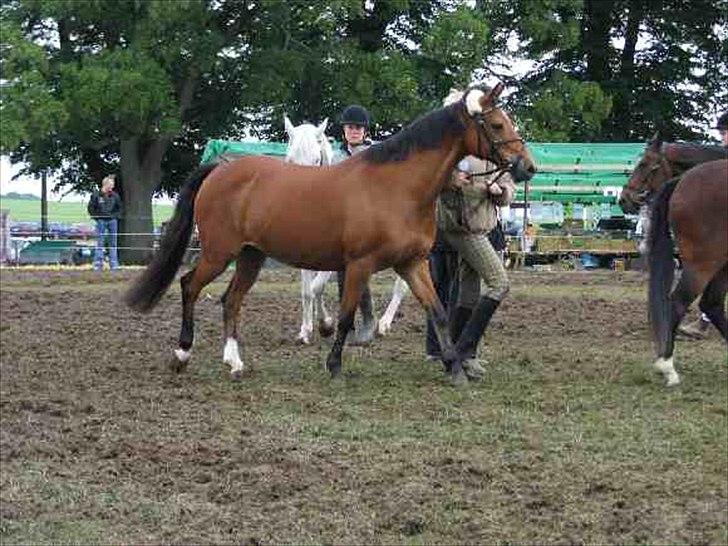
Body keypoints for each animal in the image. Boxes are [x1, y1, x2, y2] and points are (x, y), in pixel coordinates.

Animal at [282, 116, 410, 344]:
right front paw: (305, 331)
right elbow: (307, 291)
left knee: (402, 285)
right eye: (290, 159)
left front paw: (326, 325)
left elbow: (316, 287)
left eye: (317, 160)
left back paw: (383, 325)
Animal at [620, 135, 728, 382]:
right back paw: (667, 366)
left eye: (646, 164)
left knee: (712, 304)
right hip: (704, 264)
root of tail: (683, 181)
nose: (624, 199)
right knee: (679, 302)